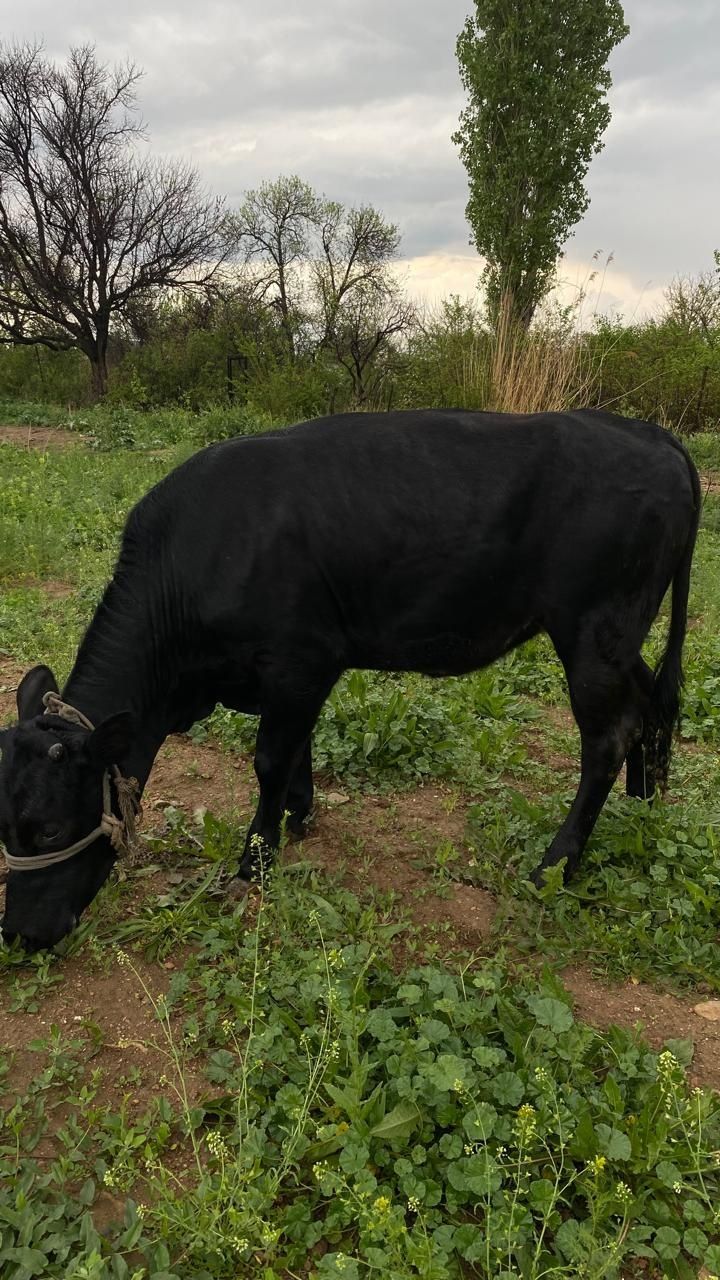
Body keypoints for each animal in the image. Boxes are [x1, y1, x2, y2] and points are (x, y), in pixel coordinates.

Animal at [0, 409, 696, 952]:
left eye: (52, 830)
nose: (19, 935)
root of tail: (650, 433)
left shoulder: (301, 658)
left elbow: (269, 757)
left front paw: (255, 860)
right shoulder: (290, 677)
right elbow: (296, 749)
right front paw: (298, 814)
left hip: (594, 630)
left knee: (608, 737)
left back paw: (555, 864)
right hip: (616, 639)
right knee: (651, 706)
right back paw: (644, 804)